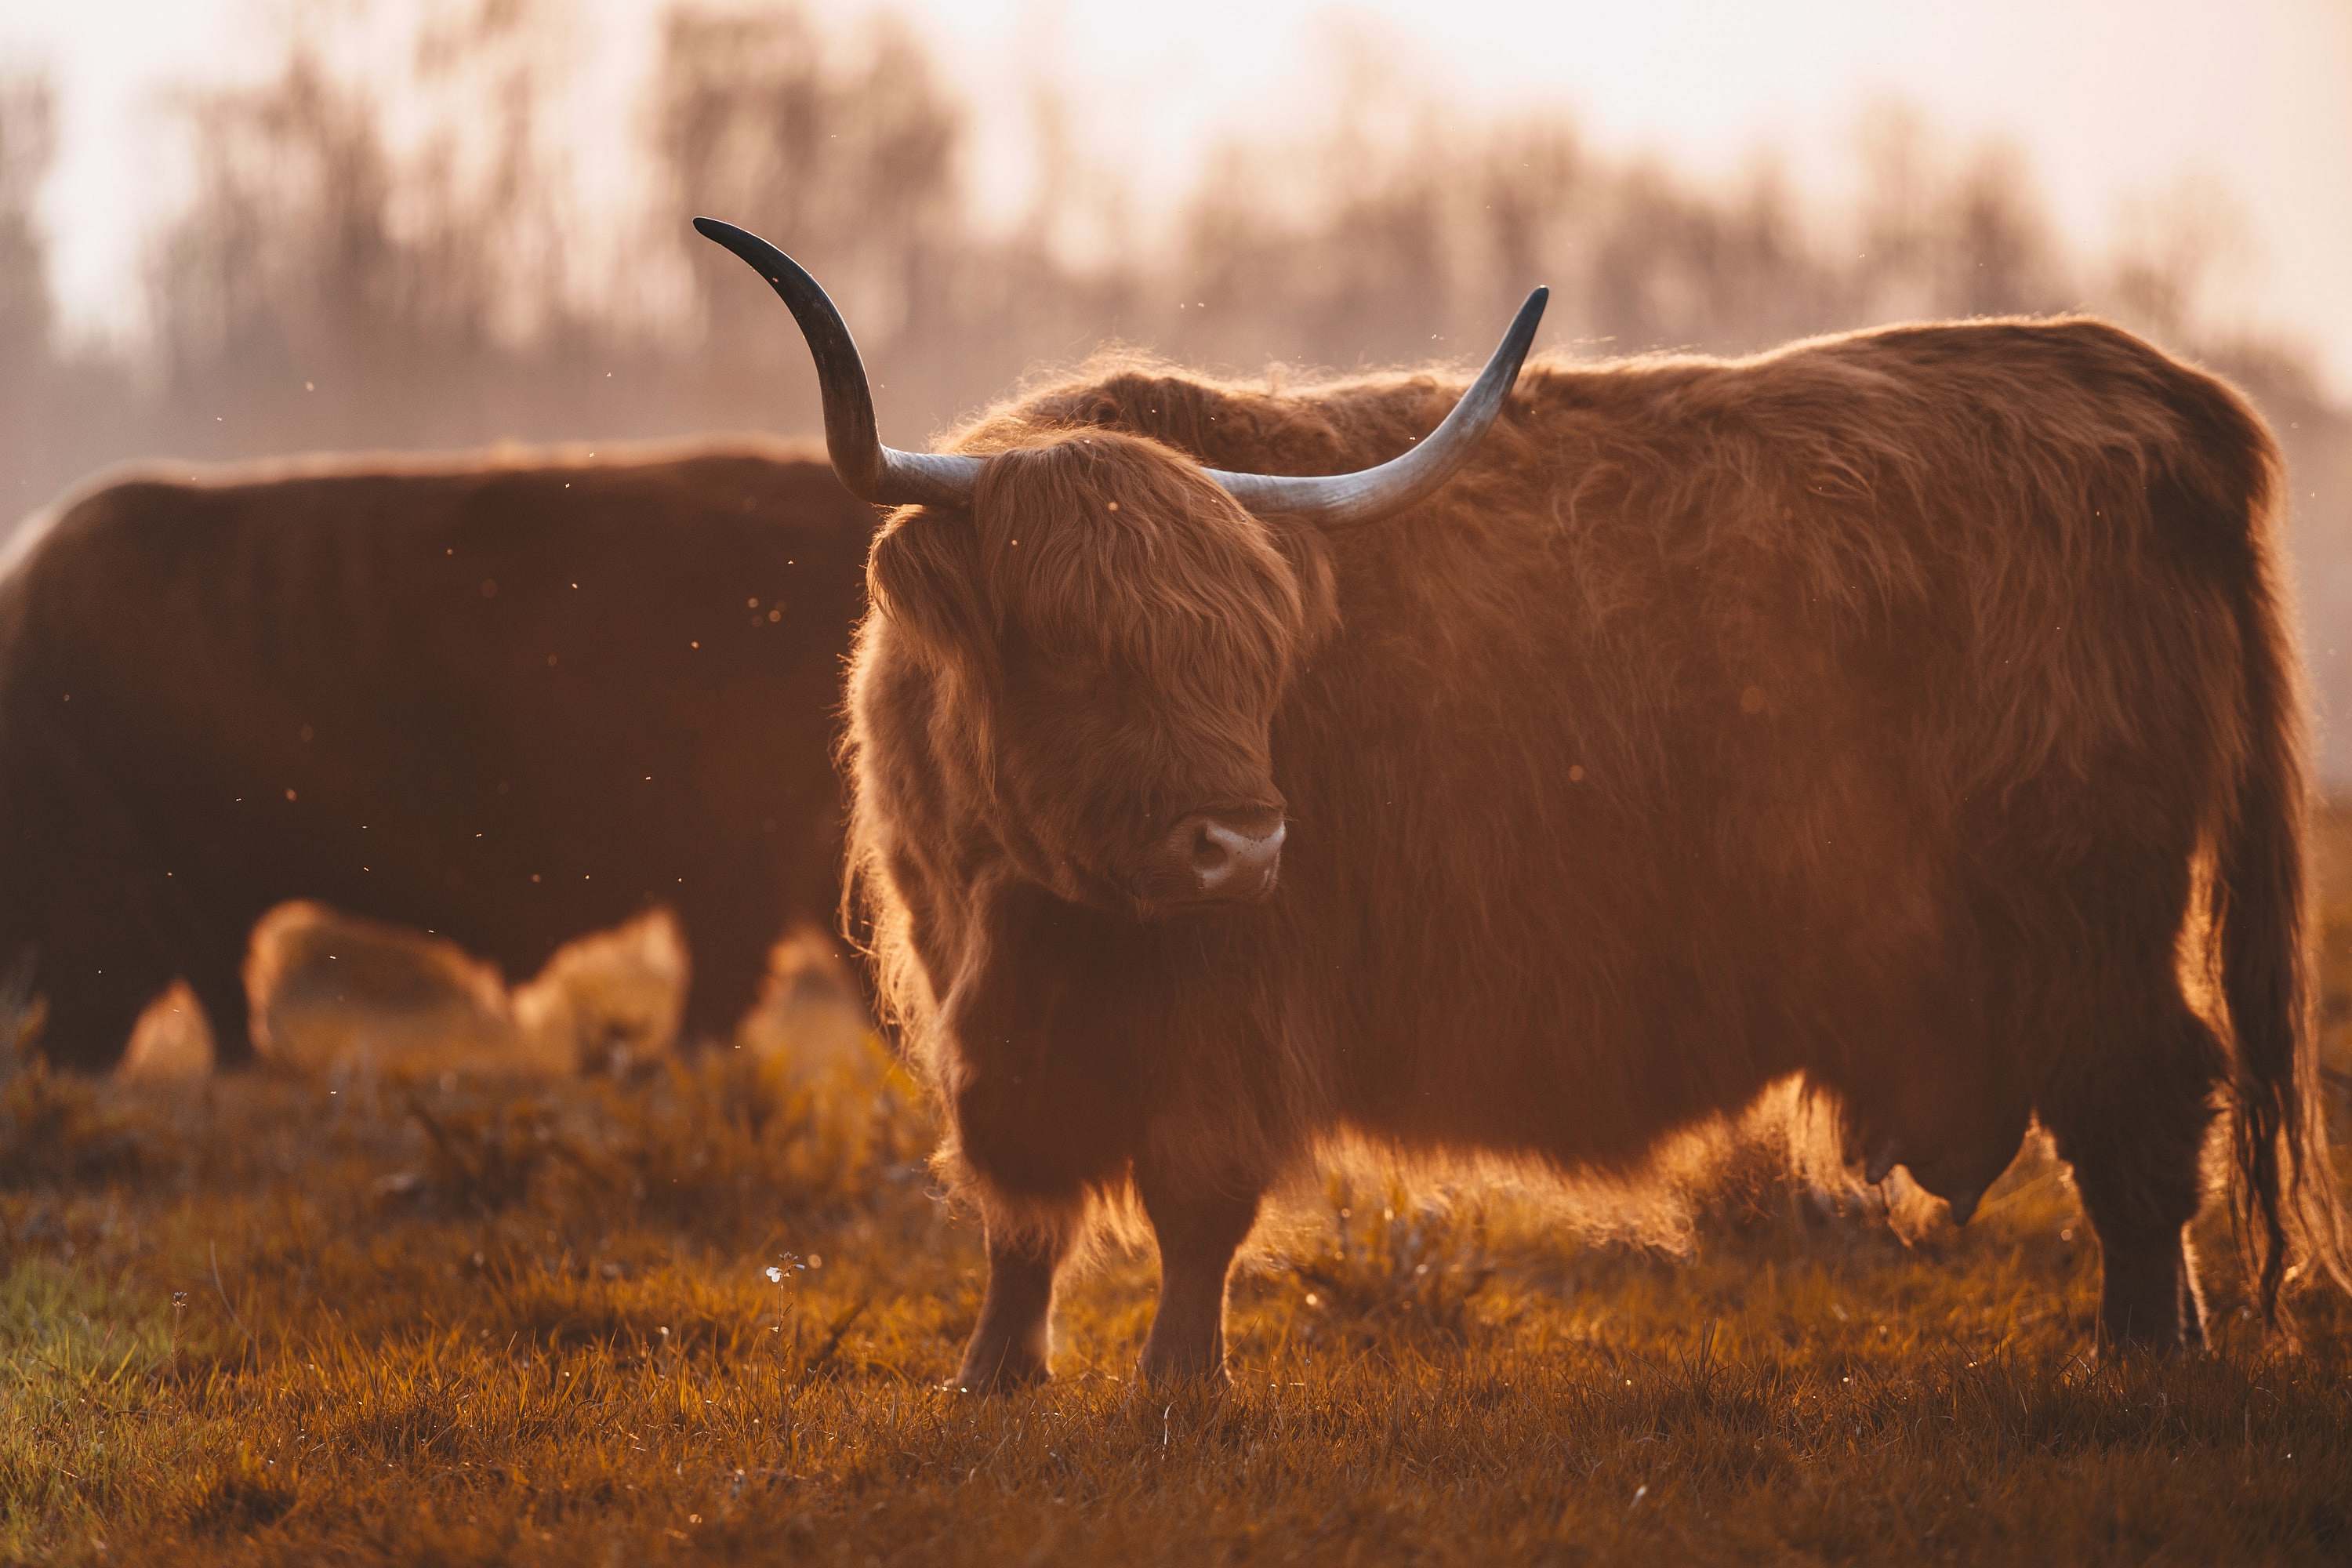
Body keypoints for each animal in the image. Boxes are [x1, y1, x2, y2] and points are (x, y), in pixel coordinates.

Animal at [687, 217, 2343, 1382]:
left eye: (1256, 656)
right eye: (1079, 647)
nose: (1243, 842)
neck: (1049, 913)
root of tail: (2137, 383)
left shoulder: (1240, 1012)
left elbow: (1198, 1198)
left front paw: (1180, 1388)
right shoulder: (980, 1002)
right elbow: (1018, 1209)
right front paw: (994, 1378)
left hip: (2093, 916)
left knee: (2149, 1109)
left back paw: (2142, 1350)